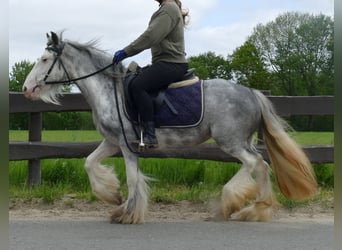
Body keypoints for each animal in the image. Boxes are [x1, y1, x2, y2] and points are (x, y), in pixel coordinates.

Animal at [22, 31, 318, 225]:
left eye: (45, 59)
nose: (26, 89)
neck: (109, 89)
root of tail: (252, 93)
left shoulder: (127, 145)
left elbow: (133, 179)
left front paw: (128, 213)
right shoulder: (112, 142)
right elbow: (89, 162)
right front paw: (113, 197)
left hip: (231, 141)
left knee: (256, 164)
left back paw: (239, 204)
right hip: (240, 141)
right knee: (260, 165)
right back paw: (253, 208)